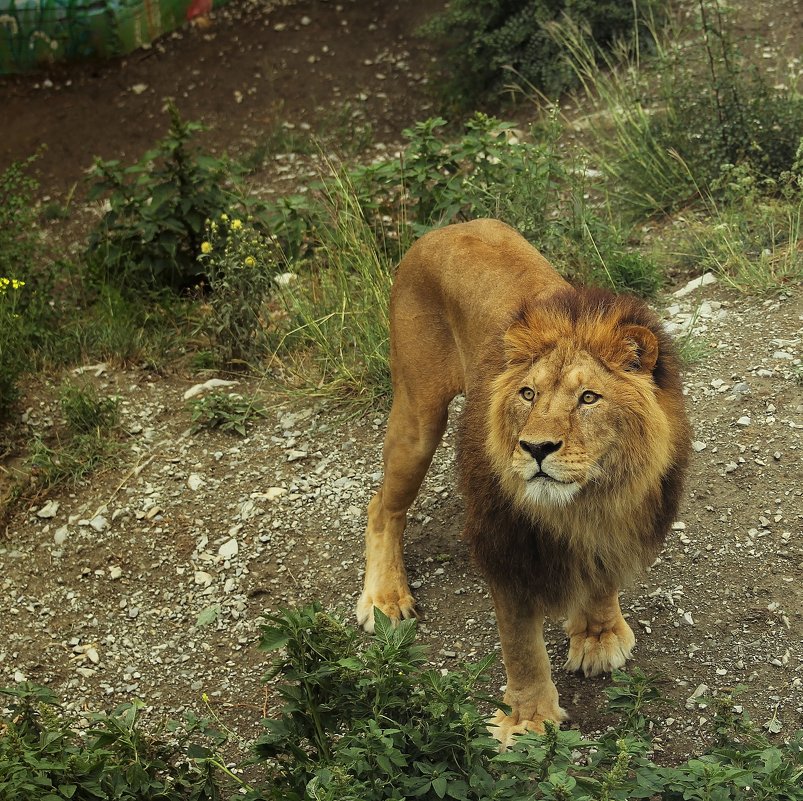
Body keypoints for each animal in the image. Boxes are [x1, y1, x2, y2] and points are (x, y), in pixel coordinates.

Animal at [356, 217, 692, 744]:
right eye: (528, 394)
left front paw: (598, 636)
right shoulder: (506, 549)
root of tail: (443, 229)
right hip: (417, 412)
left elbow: (601, 581)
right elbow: (522, 647)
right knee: (381, 505)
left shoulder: (616, 528)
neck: (589, 500)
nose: (535, 448)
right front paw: (528, 721)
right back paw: (386, 598)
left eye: (589, 398)